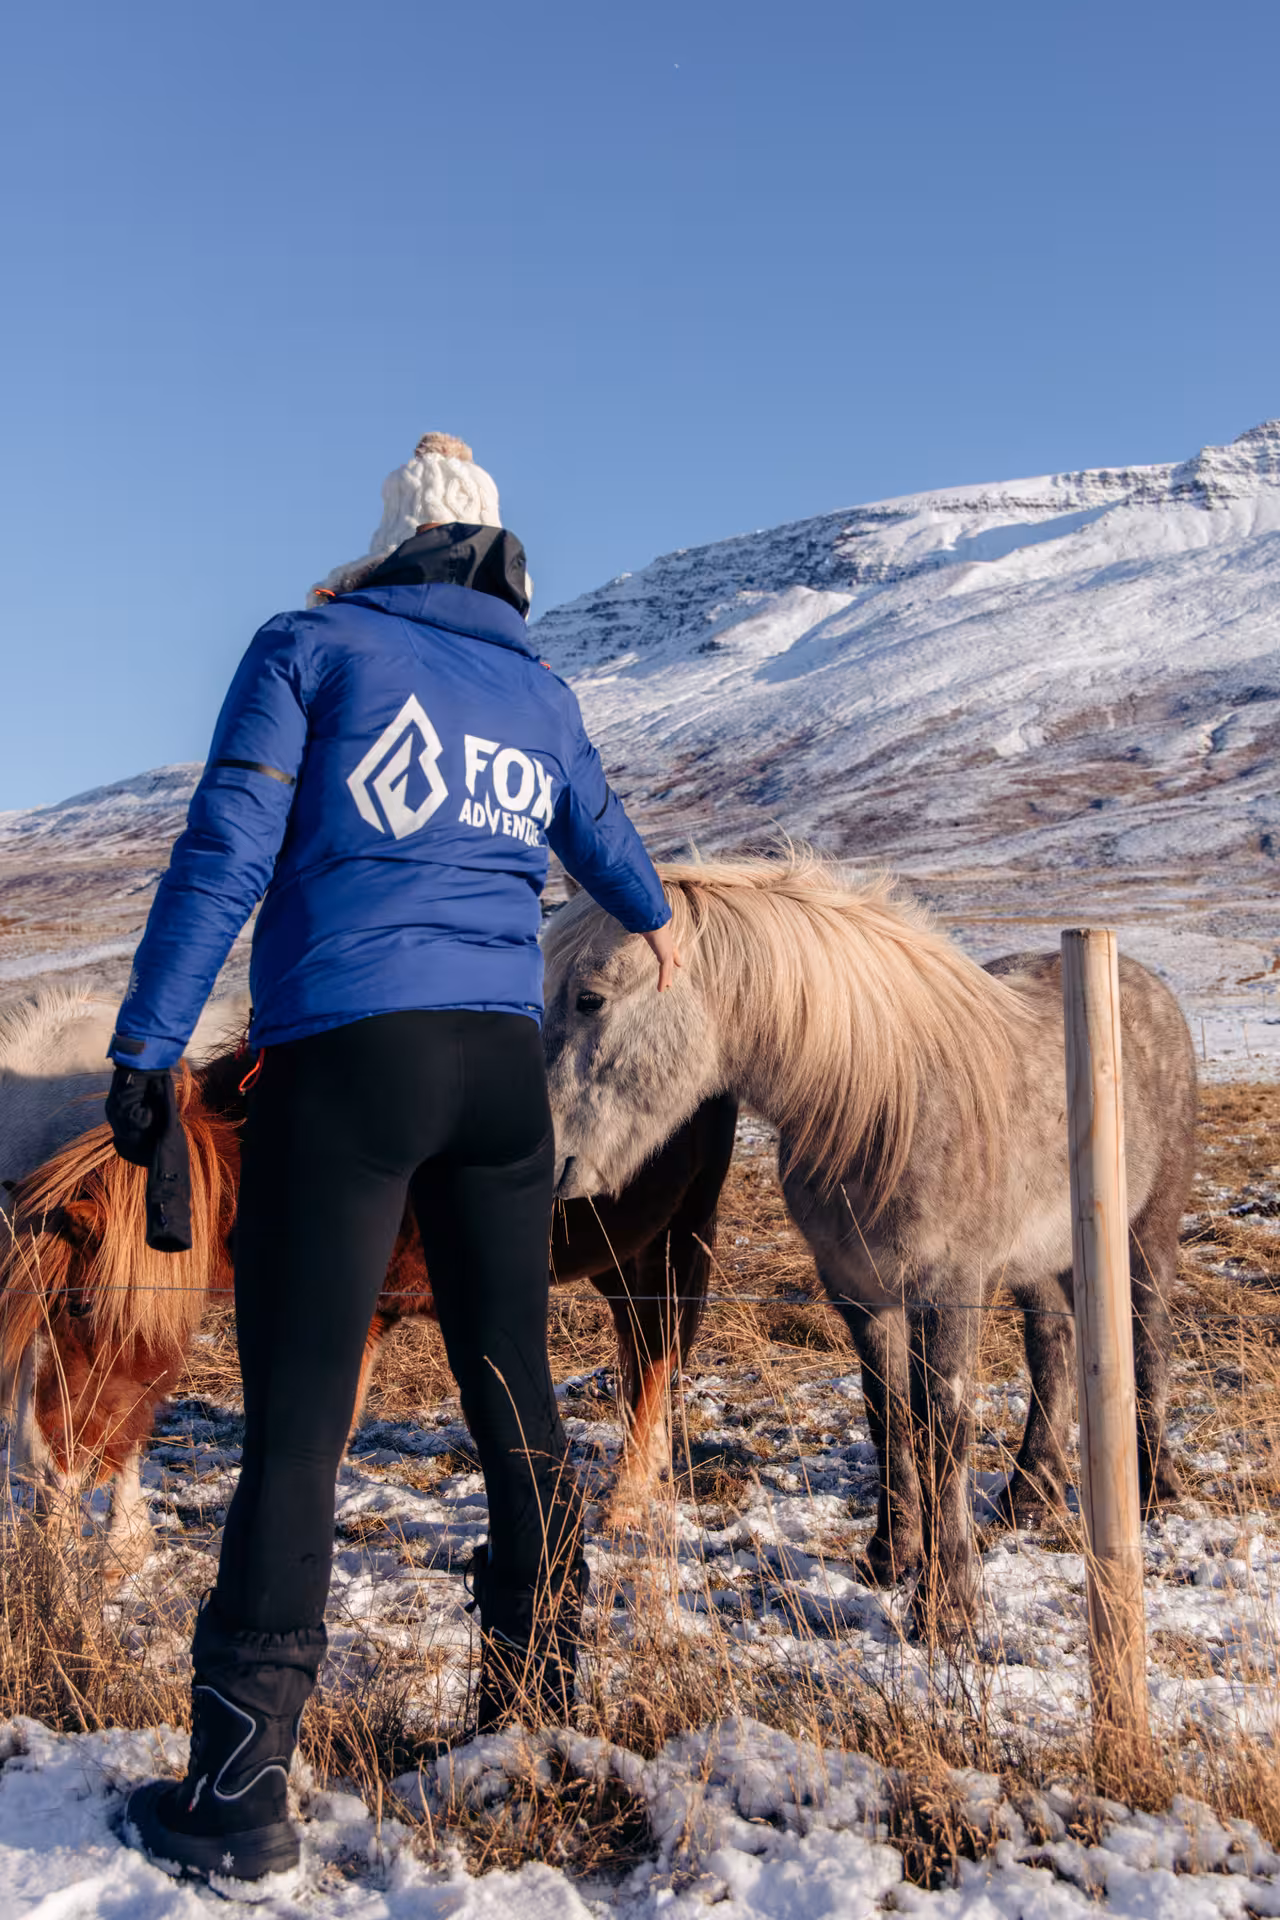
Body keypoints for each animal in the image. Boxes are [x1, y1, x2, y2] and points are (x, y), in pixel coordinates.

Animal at [1, 1021, 737, 1569]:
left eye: (78, 1306)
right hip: (622, 1252)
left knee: (660, 1354)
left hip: (681, 1232)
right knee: (642, 1353)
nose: (38, 1466)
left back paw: (627, 1500)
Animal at [541, 853, 1197, 1630]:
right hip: (1043, 1258)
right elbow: (887, 1415)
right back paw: (1027, 1496)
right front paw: (889, 1558)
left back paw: (1154, 1490)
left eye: (589, 999)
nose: (545, 1159)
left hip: (1145, 1233)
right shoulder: (857, 1288)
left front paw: (948, 1606)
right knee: (1053, 1349)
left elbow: (944, 1425)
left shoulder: (949, 1288)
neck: (886, 1100)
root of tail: (1146, 983)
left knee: (1149, 1339)